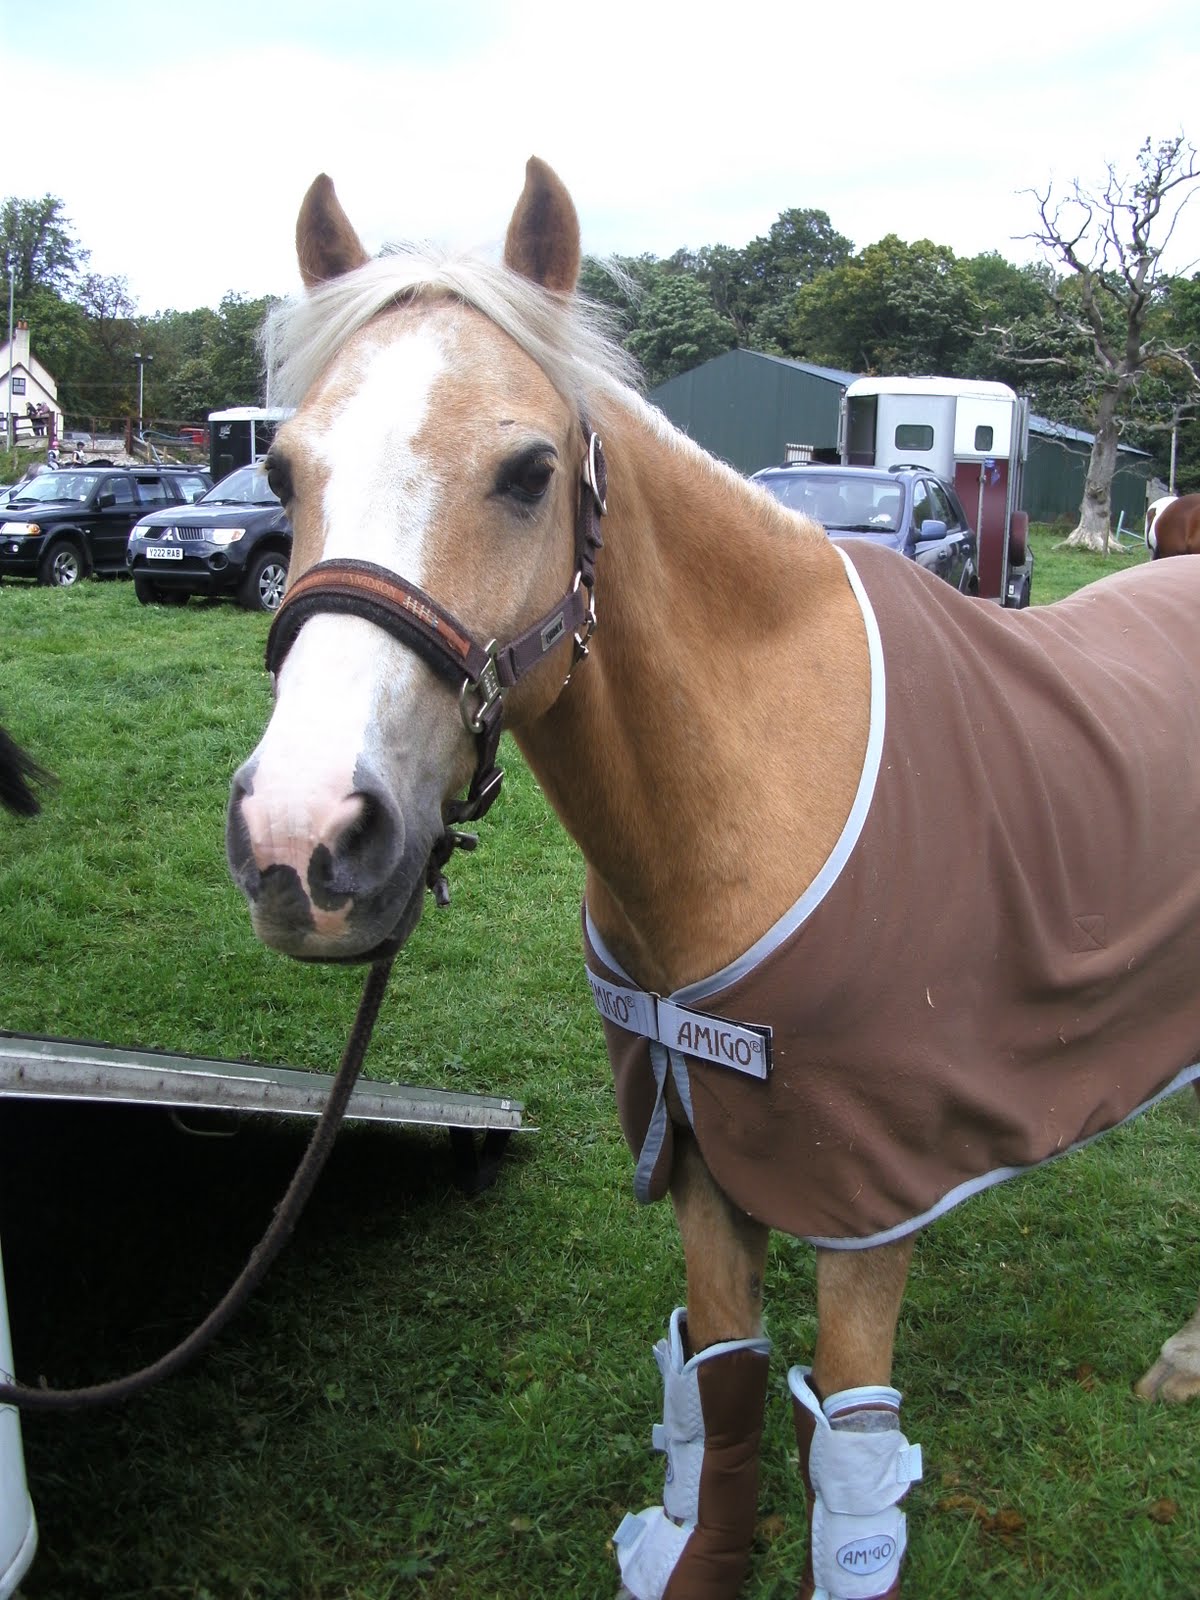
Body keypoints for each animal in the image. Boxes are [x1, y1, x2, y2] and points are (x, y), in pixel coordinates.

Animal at [225, 160, 1200, 1600]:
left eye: (529, 472)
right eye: (283, 469)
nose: (302, 844)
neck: (749, 784)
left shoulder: (863, 1197)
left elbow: (851, 1462)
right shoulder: (699, 1145)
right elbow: (719, 1395)